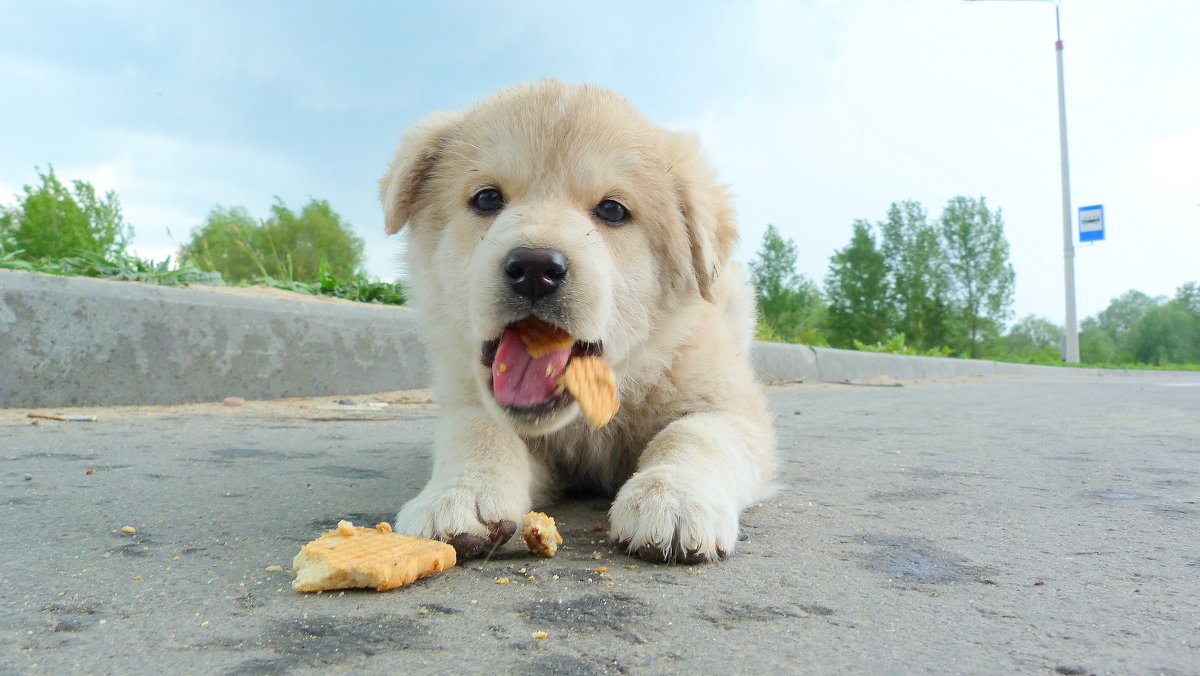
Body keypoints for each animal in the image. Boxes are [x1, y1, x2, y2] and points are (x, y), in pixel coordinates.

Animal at [384, 80, 777, 566]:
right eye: (488, 199)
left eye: (613, 210)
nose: (535, 268)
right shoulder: (471, 403)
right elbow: (480, 431)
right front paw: (460, 496)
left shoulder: (730, 407)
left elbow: (694, 433)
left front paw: (673, 497)